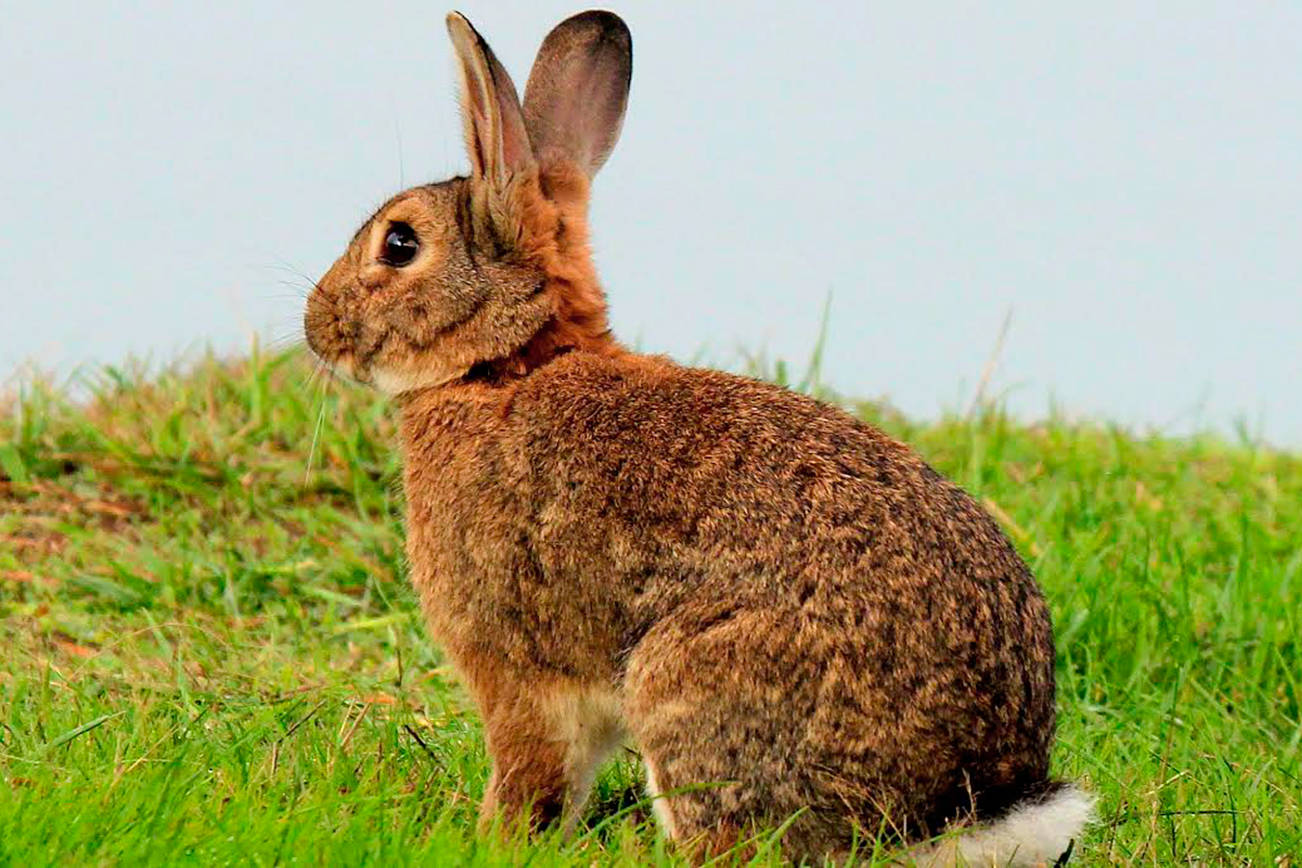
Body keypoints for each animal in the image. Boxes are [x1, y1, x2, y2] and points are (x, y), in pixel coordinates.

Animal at [302, 10, 1088, 864]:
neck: (506, 364)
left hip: (692, 692)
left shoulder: (516, 671)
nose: (316, 325)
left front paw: (491, 838)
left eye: (400, 243)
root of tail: (957, 809)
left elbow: (530, 774)